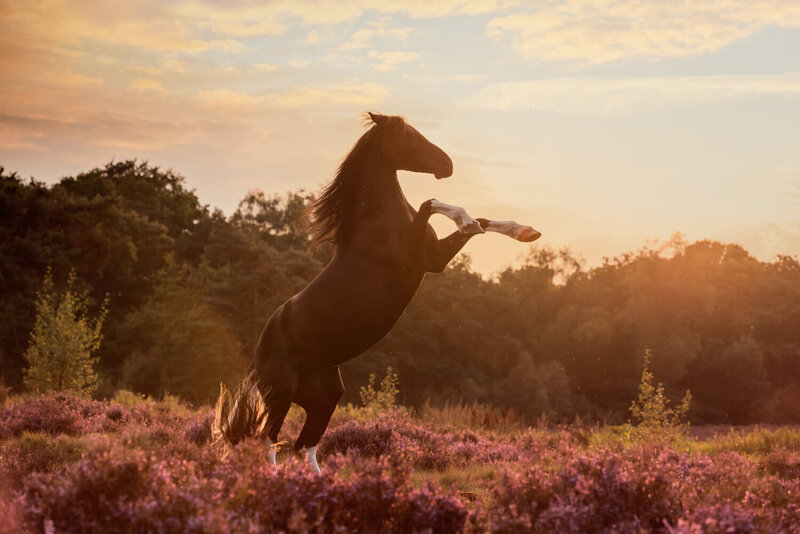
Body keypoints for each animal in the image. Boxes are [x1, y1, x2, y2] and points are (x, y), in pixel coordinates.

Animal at [212, 113, 540, 474]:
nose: (447, 164)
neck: (377, 219)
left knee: (304, 445)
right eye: (406, 135)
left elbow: (481, 220)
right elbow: (431, 203)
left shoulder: (434, 258)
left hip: (324, 397)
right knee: (268, 443)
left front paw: (525, 231)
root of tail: (257, 354)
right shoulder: (425, 258)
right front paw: (466, 220)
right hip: (280, 395)